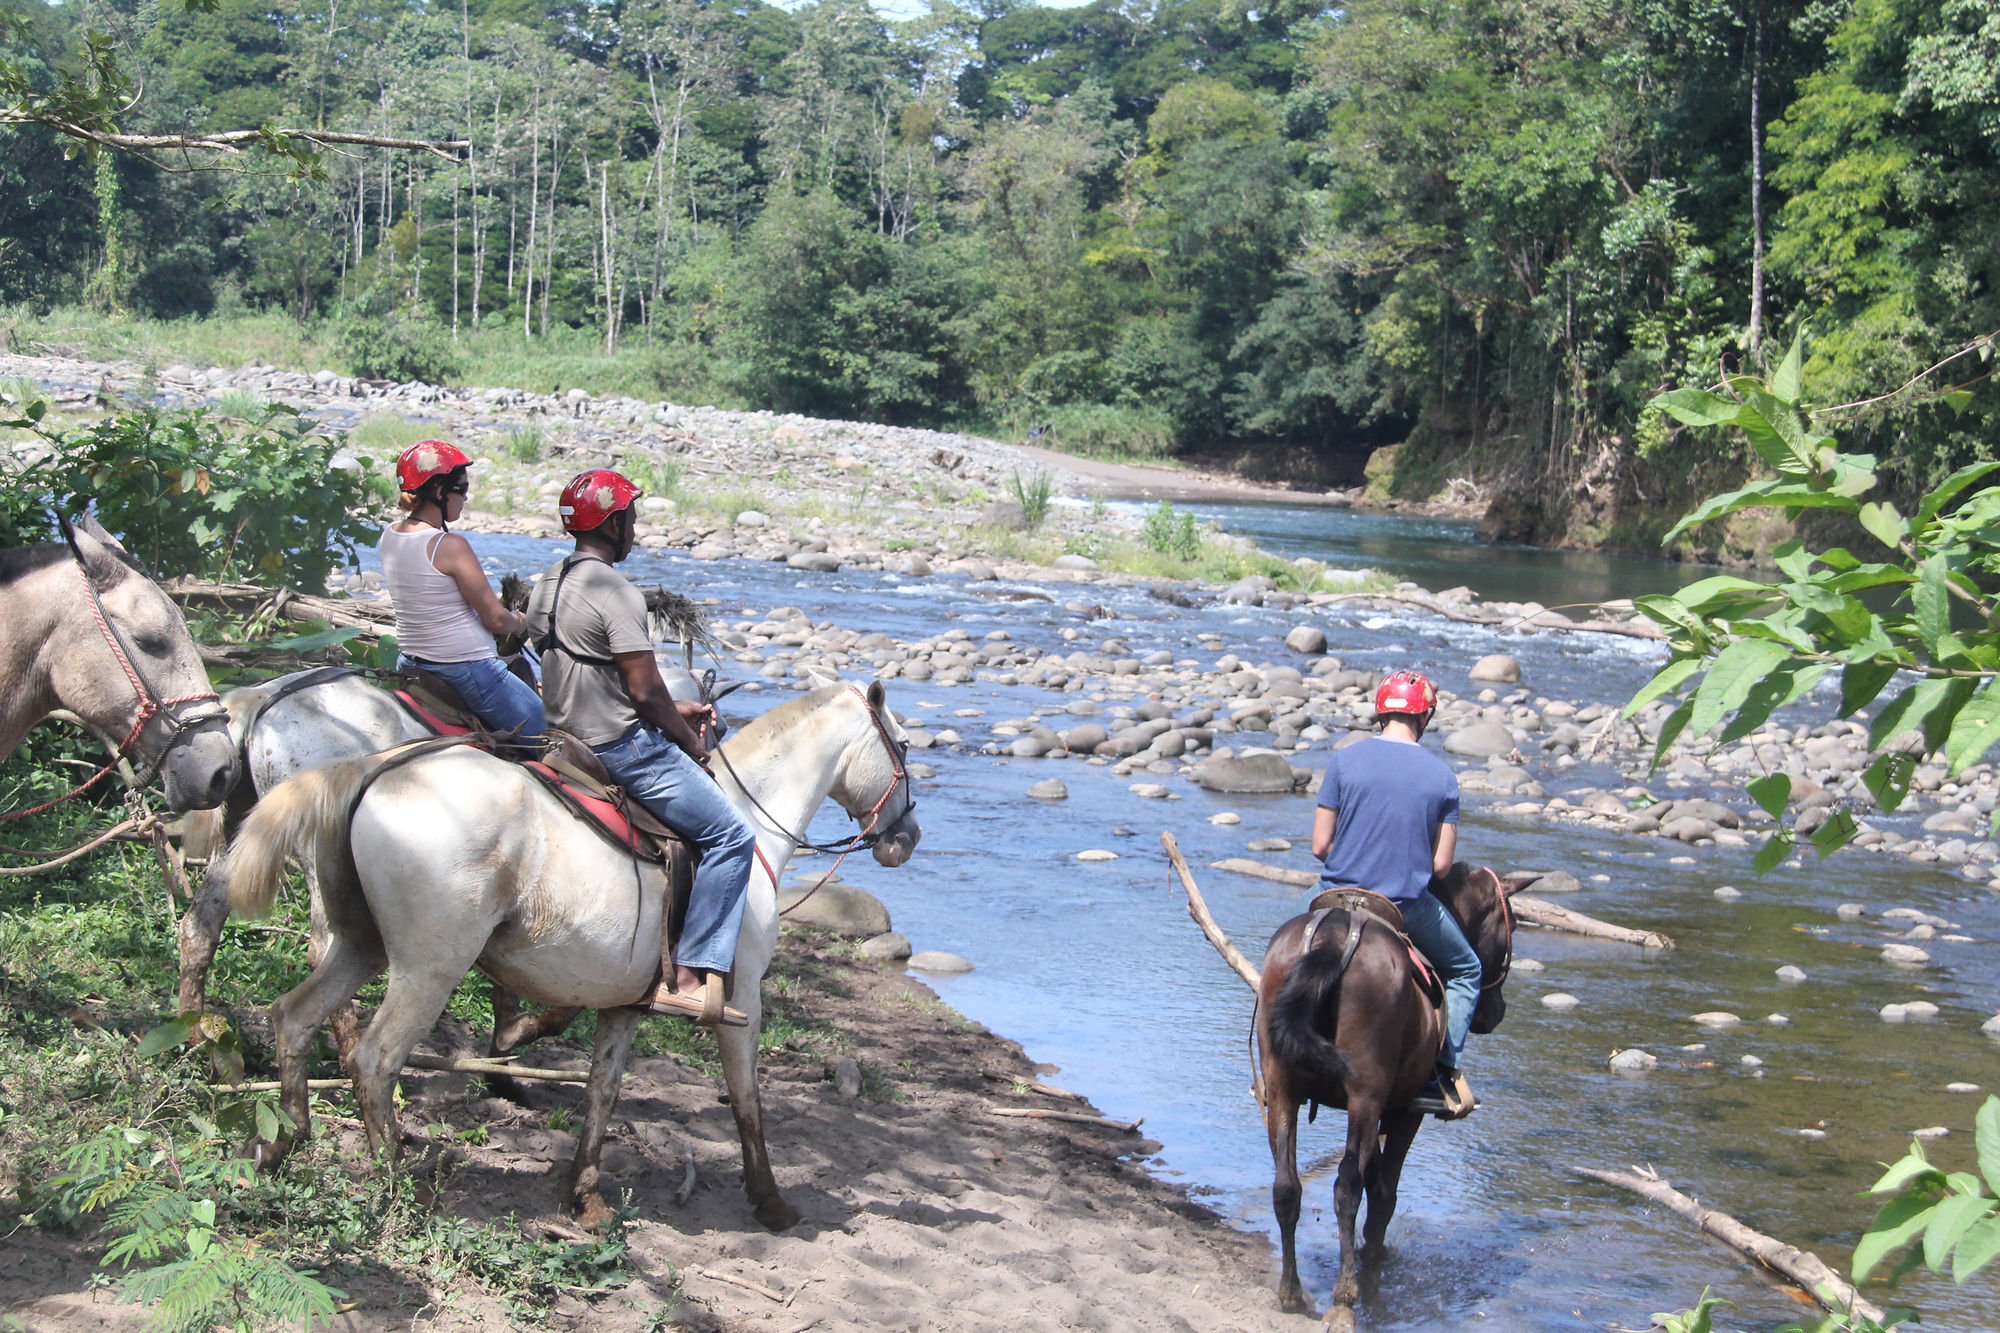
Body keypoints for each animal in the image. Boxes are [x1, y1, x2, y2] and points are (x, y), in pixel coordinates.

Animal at [225, 680, 920, 1216]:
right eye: (904, 745)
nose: (907, 837)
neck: (748, 831)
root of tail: (375, 772)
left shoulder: (625, 1002)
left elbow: (601, 1090)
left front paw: (584, 1195)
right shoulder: (740, 996)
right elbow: (747, 1098)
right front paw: (770, 1200)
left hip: (360, 947)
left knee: (295, 1017)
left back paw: (283, 1143)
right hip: (429, 968)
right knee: (374, 1060)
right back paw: (397, 1181)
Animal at [1256, 856, 1536, 1320]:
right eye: (1510, 921)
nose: (1494, 1013)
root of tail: (1335, 935)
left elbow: (1373, 1179)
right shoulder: (1405, 1111)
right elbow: (1383, 1189)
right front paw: (1374, 1255)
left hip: (1281, 1087)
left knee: (1286, 1187)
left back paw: (1291, 1292)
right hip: (1364, 1097)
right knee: (1346, 1186)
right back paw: (1347, 1289)